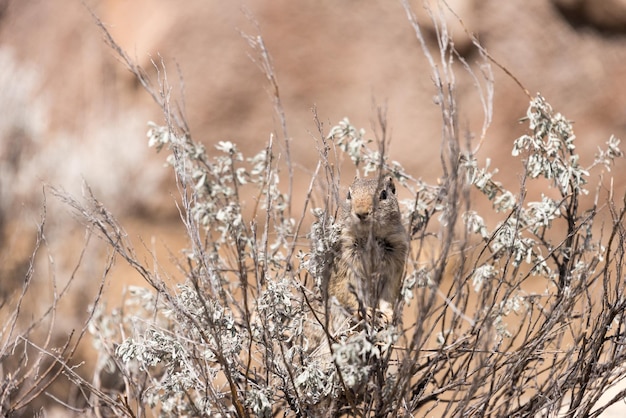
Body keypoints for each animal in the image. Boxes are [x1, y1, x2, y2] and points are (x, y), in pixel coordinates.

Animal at [326, 175, 410, 322]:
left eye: (384, 194)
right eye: (349, 195)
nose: (361, 213)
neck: (370, 237)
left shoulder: (393, 268)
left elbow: (387, 296)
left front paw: (388, 315)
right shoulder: (346, 263)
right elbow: (349, 292)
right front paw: (367, 311)